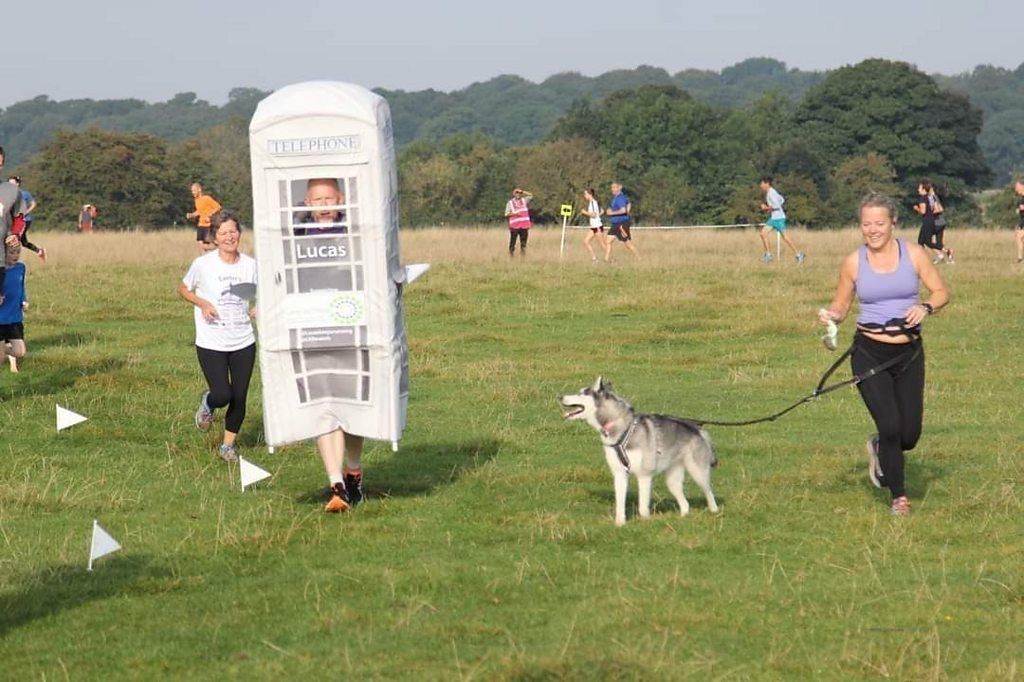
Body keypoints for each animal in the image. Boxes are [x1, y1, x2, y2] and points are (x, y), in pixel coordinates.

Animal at [561, 374, 720, 522]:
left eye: (582, 393)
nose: (560, 396)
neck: (621, 427)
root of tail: (698, 429)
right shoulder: (619, 474)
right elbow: (620, 504)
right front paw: (620, 524)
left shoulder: (644, 475)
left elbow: (643, 507)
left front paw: (645, 522)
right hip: (672, 480)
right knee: (685, 503)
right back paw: (683, 517)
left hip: (698, 472)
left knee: (709, 492)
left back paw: (714, 512)